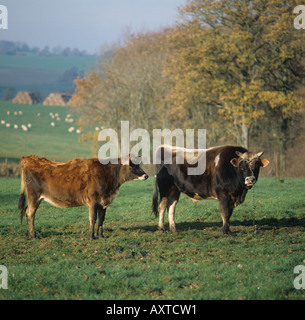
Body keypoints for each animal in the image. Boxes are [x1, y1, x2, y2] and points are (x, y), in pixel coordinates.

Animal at [18, 154, 148, 239]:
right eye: (132, 166)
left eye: (138, 164)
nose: (146, 175)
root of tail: (29, 159)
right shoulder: (93, 201)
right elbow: (93, 218)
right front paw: (91, 237)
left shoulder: (103, 203)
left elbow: (101, 219)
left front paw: (101, 236)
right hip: (34, 197)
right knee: (30, 213)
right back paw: (33, 235)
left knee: (27, 211)